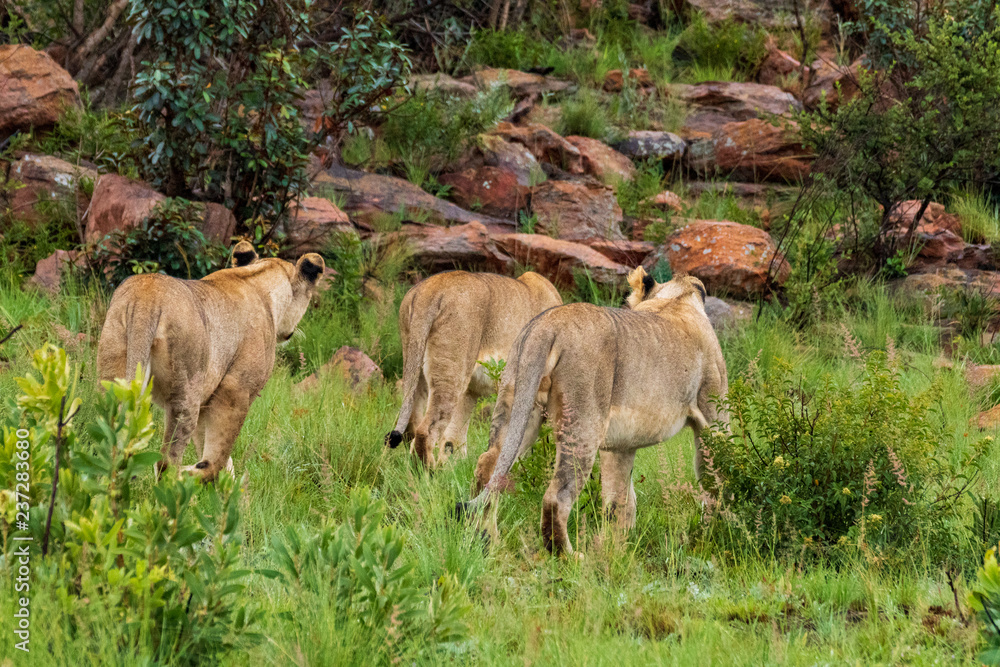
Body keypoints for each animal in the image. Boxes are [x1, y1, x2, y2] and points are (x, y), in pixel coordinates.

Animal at [96, 241, 325, 480]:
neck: (260, 279)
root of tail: (146, 297)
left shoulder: (208, 397)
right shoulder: (235, 389)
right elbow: (218, 457)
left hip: (114, 378)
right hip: (187, 389)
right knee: (167, 461)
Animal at [385, 270, 562, 467]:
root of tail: (431, 289)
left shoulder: (471, 391)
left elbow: (453, 438)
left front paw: (451, 467)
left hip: (416, 365)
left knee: (412, 424)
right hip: (451, 374)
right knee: (426, 430)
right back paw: (427, 472)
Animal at [462, 268, 728, 555]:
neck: (676, 298)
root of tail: (547, 325)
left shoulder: (620, 444)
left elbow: (619, 499)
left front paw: (616, 549)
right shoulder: (712, 417)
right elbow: (715, 478)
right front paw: (713, 531)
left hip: (517, 404)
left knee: (489, 467)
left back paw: (487, 540)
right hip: (583, 422)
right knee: (556, 496)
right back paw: (569, 556)